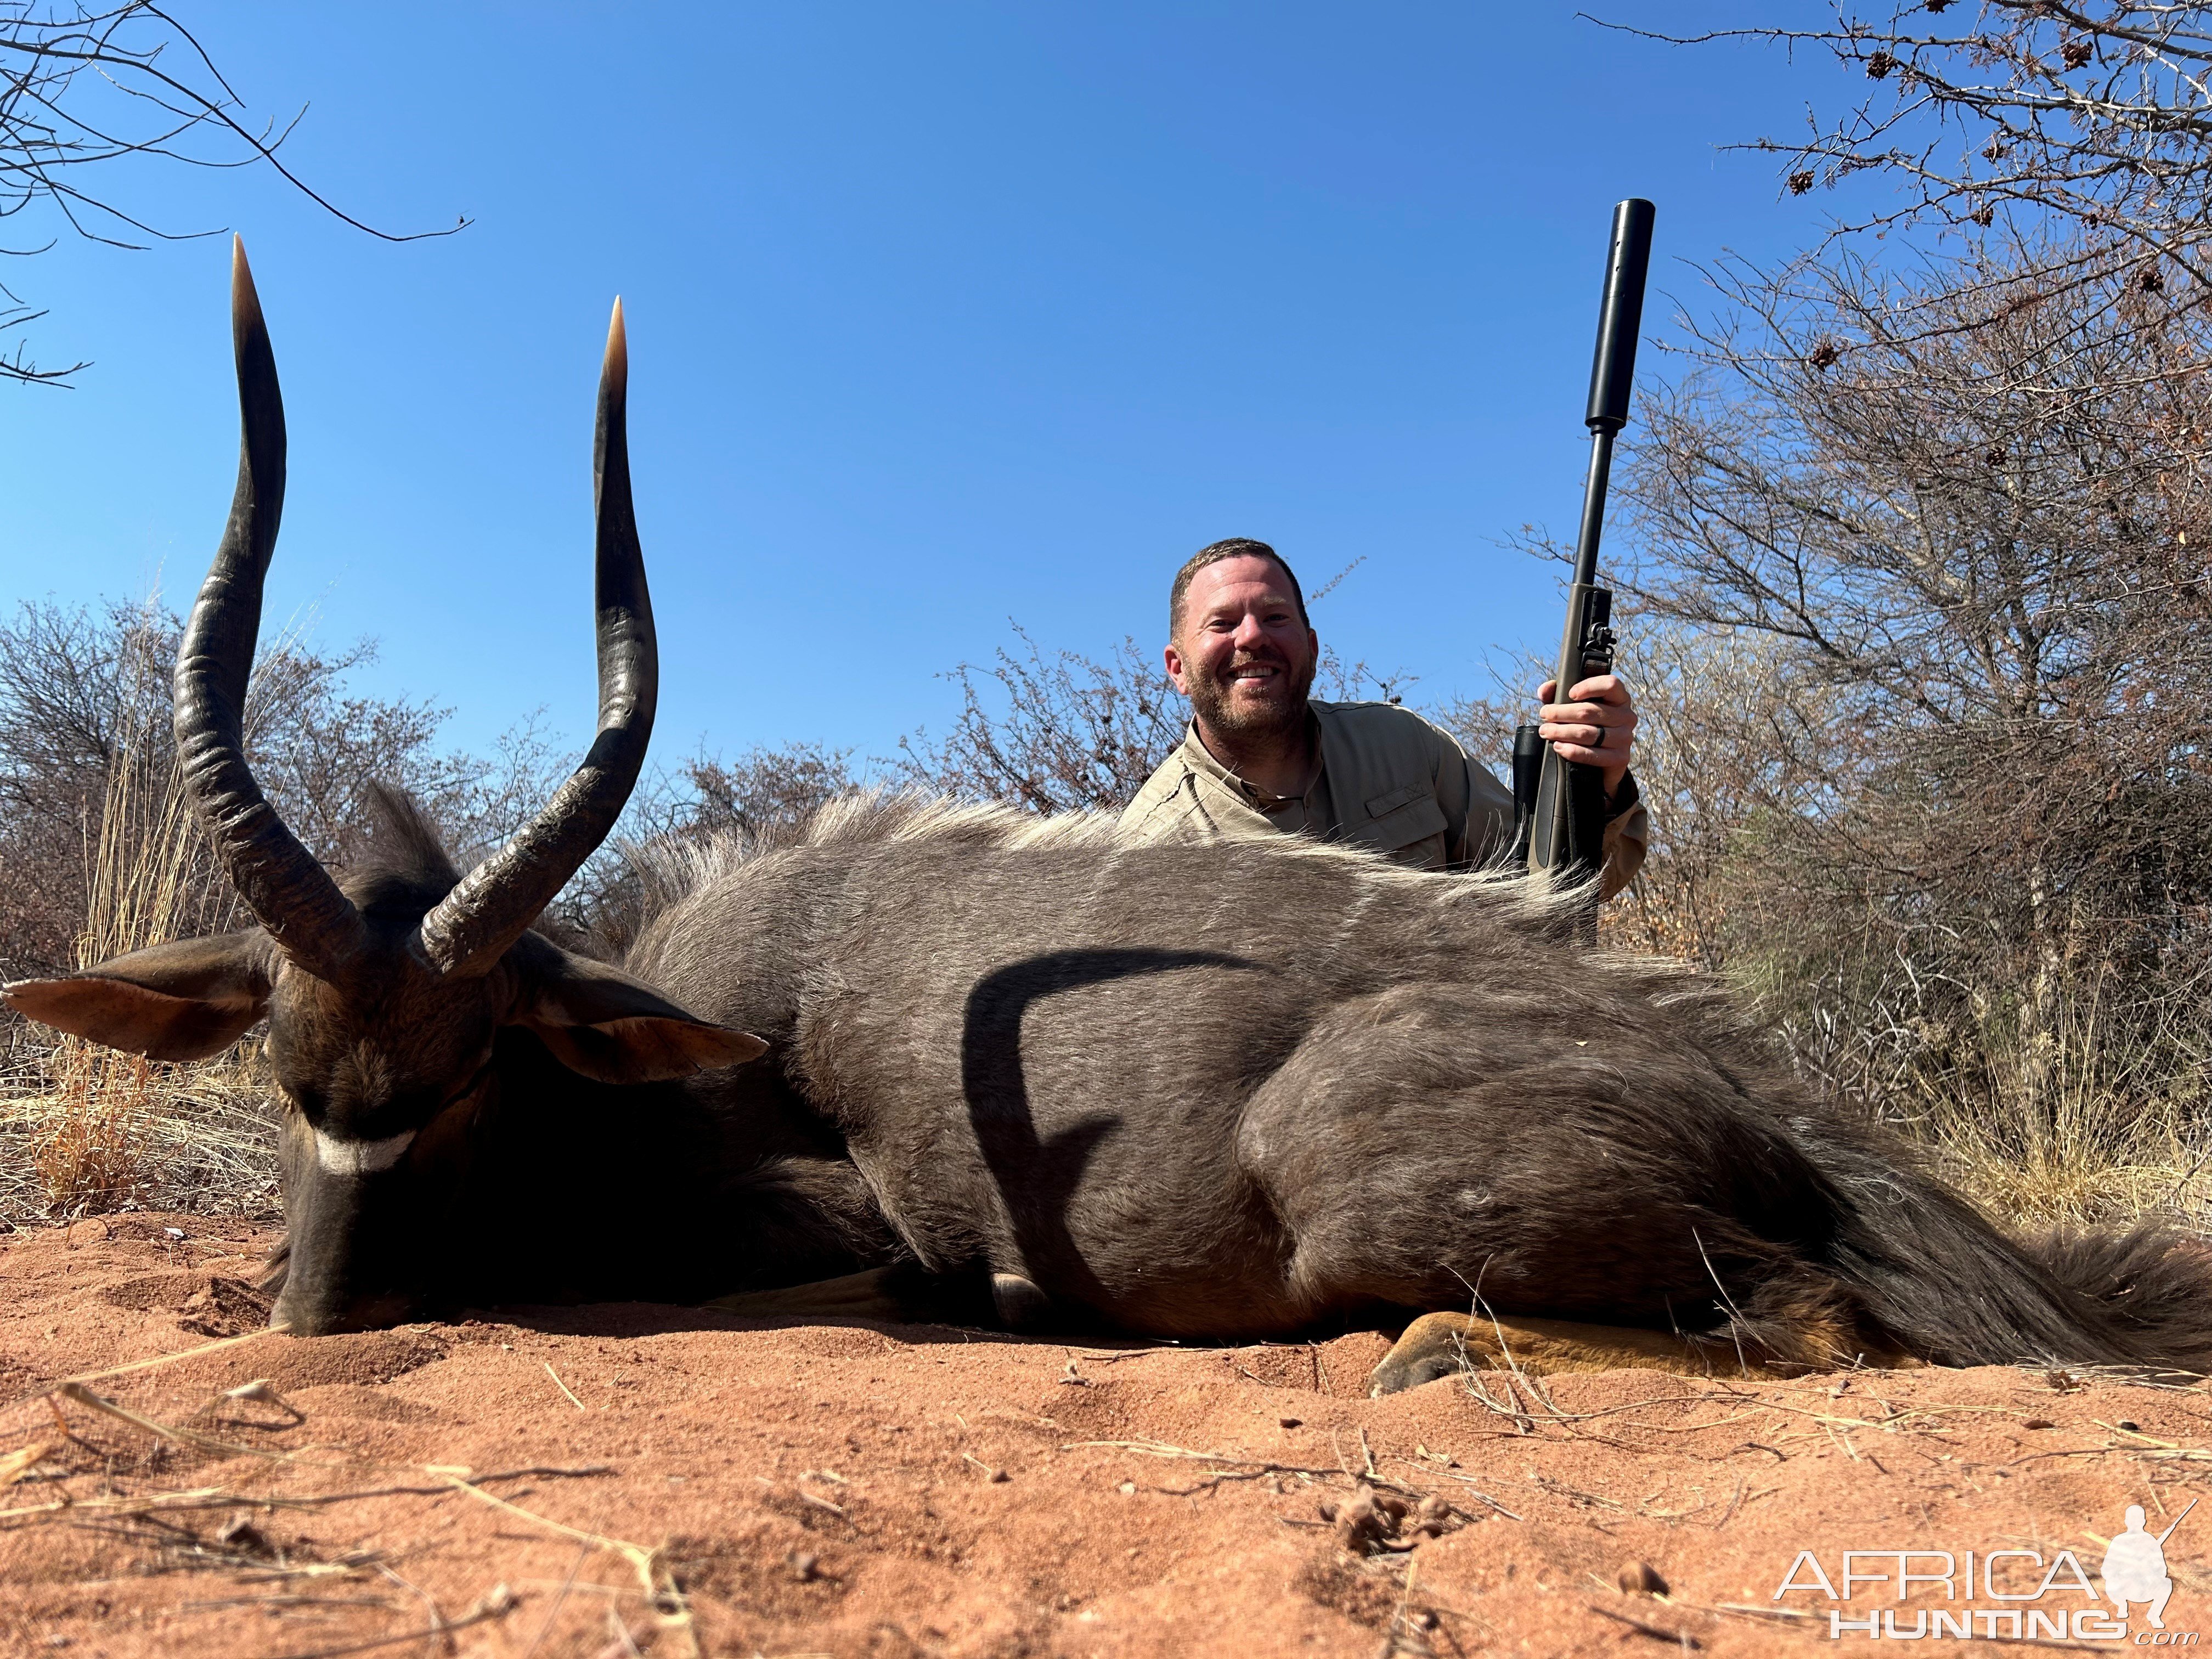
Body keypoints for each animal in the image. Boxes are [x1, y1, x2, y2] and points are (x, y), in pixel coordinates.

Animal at [8, 240, 2203, 1398]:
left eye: (471, 1072)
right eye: (286, 1064)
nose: (316, 1312)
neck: (696, 1023)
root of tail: (1768, 1097)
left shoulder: (861, 1247)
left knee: (1803, 1321)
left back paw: (1412, 1352)